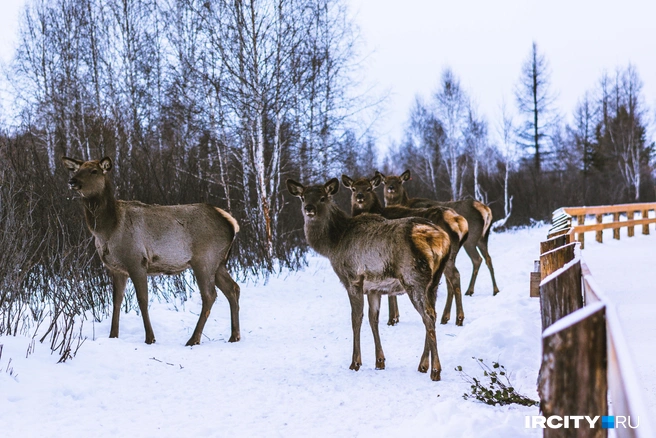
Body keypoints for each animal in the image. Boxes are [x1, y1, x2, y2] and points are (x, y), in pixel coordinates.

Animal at [60, 157, 241, 346]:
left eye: (94, 171)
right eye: (77, 170)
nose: (72, 181)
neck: (107, 230)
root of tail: (231, 223)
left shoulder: (137, 261)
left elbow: (142, 300)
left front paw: (150, 338)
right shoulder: (116, 268)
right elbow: (116, 301)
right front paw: (113, 336)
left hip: (204, 259)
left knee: (209, 295)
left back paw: (193, 339)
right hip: (219, 262)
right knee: (233, 288)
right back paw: (234, 336)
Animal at [288, 177, 452, 380]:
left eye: (323, 198)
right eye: (303, 197)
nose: (309, 208)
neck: (333, 244)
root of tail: (439, 238)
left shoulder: (353, 279)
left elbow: (356, 318)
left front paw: (355, 362)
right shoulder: (374, 288)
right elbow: (373, 319)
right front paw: (380, 361)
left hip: (414, 278)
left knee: (428, 316)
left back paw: (435, 370)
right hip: (434, 282)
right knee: (432, 314)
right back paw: (423, 364)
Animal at [340, 173, 468, 326]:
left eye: (369, 188)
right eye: (353, 188)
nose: (360, 196)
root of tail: (459, 222)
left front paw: (392, 318)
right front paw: (395, 316)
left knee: (454, 276)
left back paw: (458, 318)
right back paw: (446, 317)